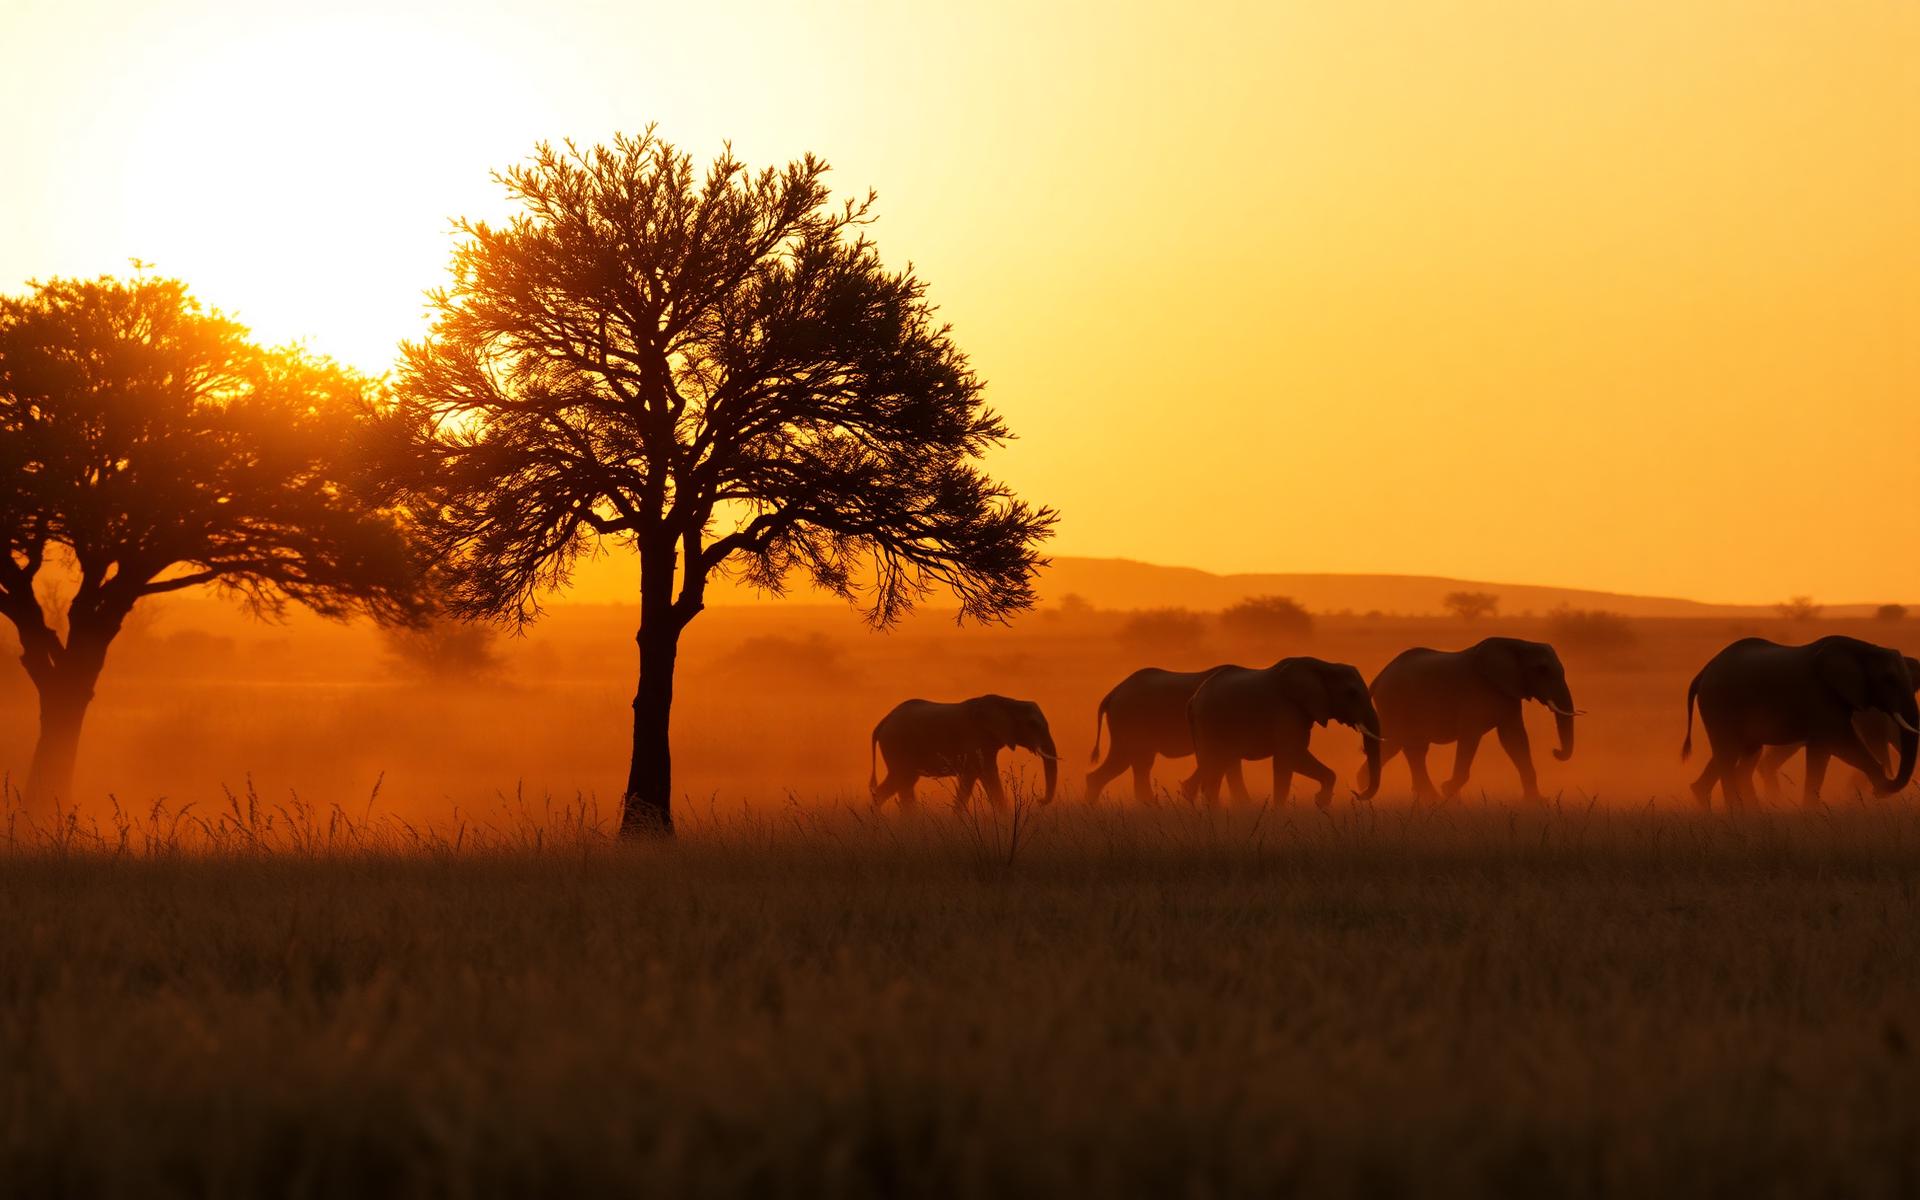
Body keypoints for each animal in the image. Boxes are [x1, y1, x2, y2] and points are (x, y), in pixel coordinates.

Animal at [869, 695, 1058, 810]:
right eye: (1033, 724)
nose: (1039, 800)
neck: (1008, 702)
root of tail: (882, 722)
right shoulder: (974, 739)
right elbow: (981, 775)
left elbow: (981, 778)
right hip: (896, 746)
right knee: (899, 781)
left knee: (905, 783)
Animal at [1183, 657, 1382, 808]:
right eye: (1352, 693)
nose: (1355, 792)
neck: (1323, 665)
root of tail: (1193, 699)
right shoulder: (1287, 711)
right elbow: (1290, 756)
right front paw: (1318, 801)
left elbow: (1289, 762)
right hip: (1210, 723)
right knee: (1214, 766)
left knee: (1217, 766)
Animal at [1361, 637, 1579, 804]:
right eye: (1541, 669)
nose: (1555, 751)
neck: (1517, 643)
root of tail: (1379, 677)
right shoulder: (1475, 692)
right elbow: (1471, 736)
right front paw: (1448, 789)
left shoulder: (1508, 694)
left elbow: (1514, 739)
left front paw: (1537, 802)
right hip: (1395, 703)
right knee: (1403, 745)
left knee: (1405, 746)